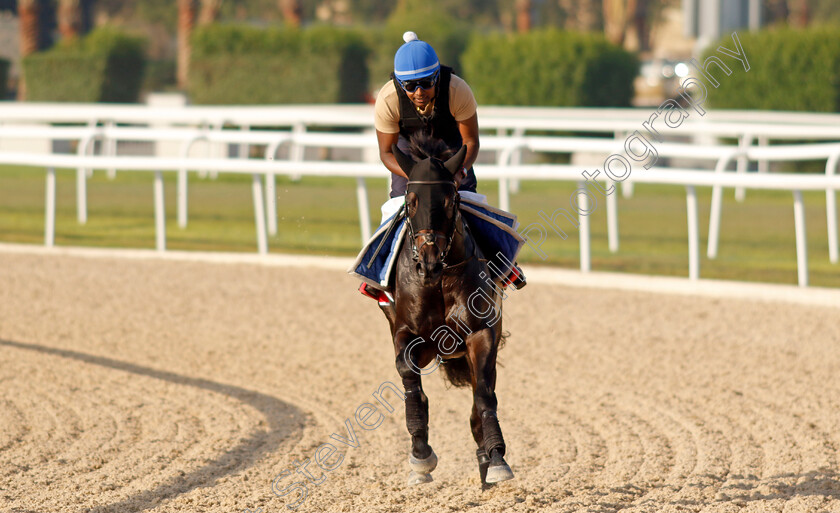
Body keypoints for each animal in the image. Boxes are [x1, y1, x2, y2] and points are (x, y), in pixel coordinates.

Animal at [378, 137, 512, 488]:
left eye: (450, 200)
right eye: (411, 202)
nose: (429, 263)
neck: (438, 282)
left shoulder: (481, 332)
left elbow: (484, 396)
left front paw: (496, 458)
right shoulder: (408, 333)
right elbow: (409, 377)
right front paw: (420, 455)